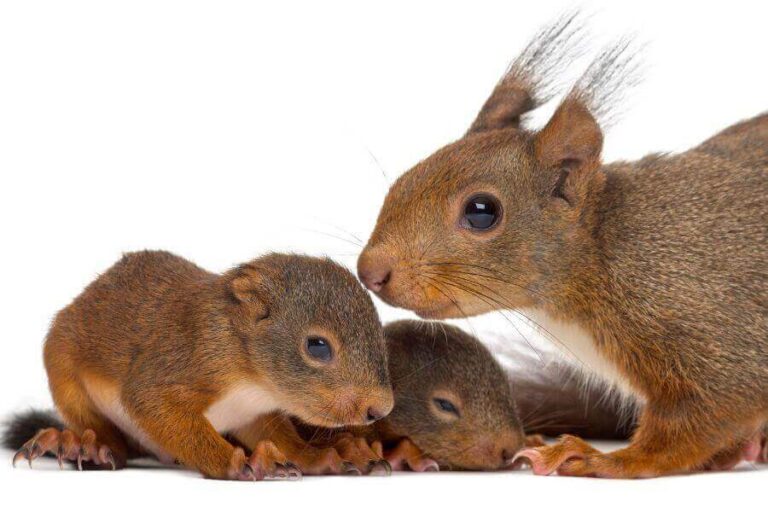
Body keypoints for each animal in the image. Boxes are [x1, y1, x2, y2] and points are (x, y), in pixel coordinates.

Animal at [6, 250, 394, 479]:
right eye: (317, 347)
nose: (380, 408)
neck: (254, 382)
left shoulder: (253, 414)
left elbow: (281, 439)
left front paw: (322, 455)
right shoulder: (186, 358)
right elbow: (154, 405)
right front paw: (237, 462)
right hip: (65, 375)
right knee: (111, 443)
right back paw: (84, 446)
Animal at [357, 12, 768, 477]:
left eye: (482, 211)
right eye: (404, 179)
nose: (369, 271)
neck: (602, 250)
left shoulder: (710, 319)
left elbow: (708, 411)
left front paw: (605, 458)